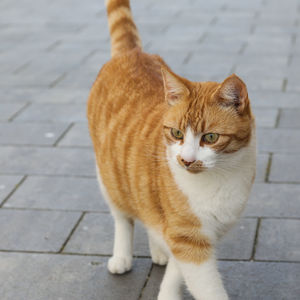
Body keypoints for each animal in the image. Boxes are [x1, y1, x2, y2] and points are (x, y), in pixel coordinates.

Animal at [86, 0, 255, 298]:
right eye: (176, 133)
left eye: (210, 137)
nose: (186, 161)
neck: (223, 175)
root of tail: (132, 52)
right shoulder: (189, 238)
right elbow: (207, 287)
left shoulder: (195, 235)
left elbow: (177, 271)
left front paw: (167, 290)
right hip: (109, 176)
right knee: (123, 217)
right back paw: (122, 257)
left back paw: (158, 251)